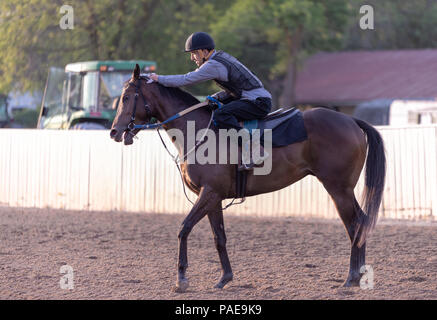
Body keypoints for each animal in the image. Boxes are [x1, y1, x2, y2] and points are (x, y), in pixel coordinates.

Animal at [109, 65, 384, 292]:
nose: (114, 131)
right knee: (359, 223)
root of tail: (350, 120)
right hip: (342, 190)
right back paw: (357, 277)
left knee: (355, 225)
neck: (200, 131)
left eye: (126, 97)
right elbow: (219, 237)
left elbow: (184, 228)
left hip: (338, 189)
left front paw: (182, 279)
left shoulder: (209, 193)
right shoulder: (213, 198)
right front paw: (225, 278)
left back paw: (351, 278)